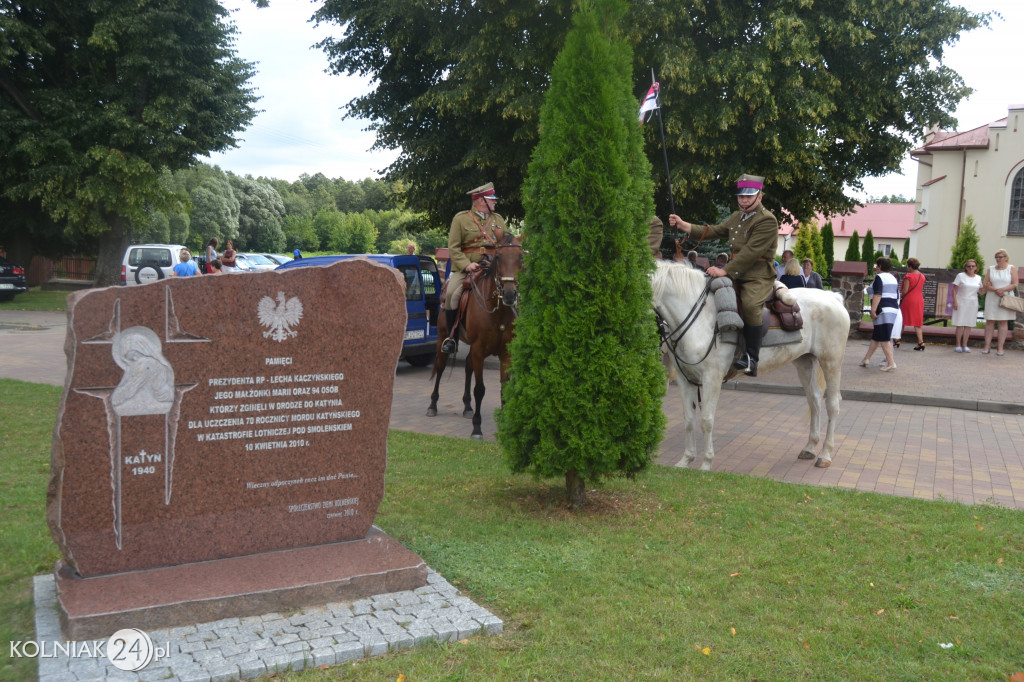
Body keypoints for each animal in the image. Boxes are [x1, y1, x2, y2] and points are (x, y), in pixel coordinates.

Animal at [425, 236, 524, 438]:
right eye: (499, 256)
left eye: (521, 257)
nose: (510, 294)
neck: (497, 311)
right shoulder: (479, 350)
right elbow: (479, 389)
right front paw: (477, 428)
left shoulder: (505, 354)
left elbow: (504, 387)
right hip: (443, 339)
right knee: (440, 368)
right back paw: (433, 405)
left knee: (468, 367)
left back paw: (467, 407)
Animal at [651, 259, 851, 466]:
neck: (700, 317)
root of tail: (833, 296)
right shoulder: (685, 379)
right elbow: (689, 420)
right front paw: (686, 460)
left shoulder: (711, 378)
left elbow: (706, 420)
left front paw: (706, 463)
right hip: (805, 363)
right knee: (814, 400)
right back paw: (810, 447)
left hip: (831, 363)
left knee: (832, 405)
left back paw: (825, 454)